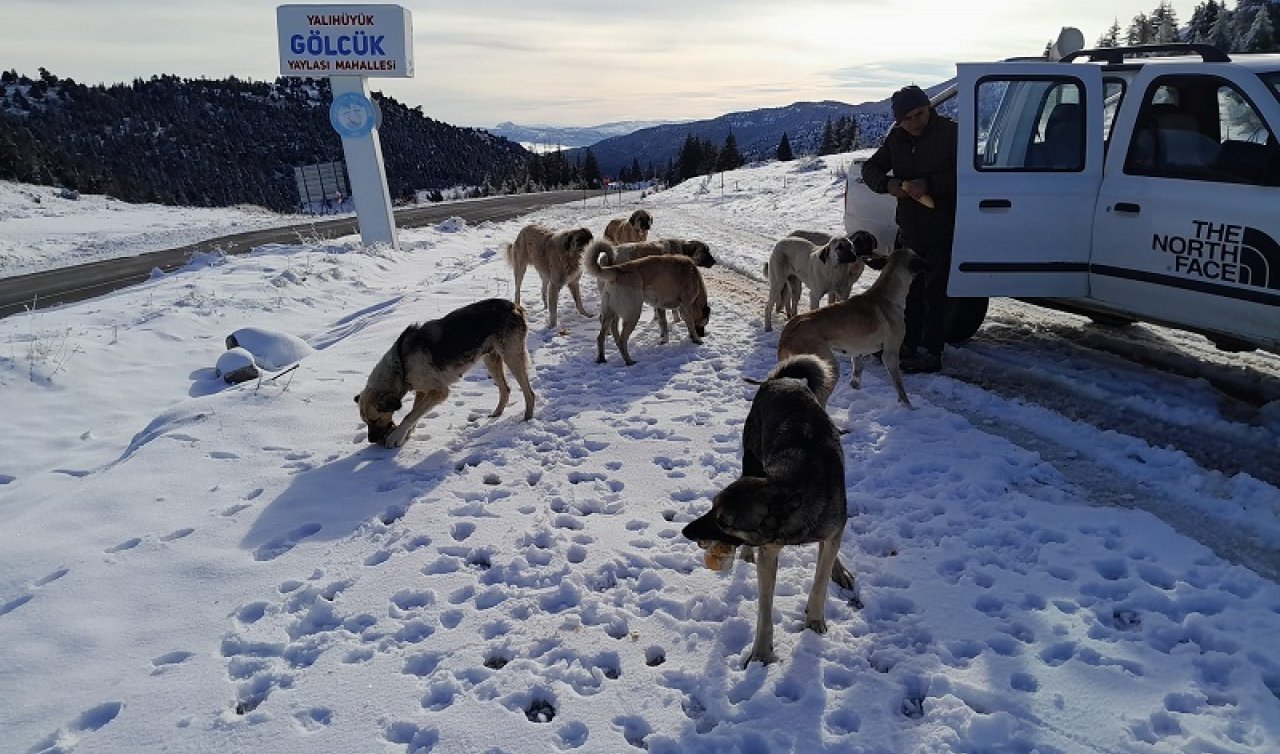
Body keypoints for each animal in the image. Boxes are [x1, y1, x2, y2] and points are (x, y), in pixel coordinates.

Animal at [355, 295, 535, 448]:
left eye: (374, 420)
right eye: (365, 422)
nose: (371, 441)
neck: (400, 364)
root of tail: (514, 306)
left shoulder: (439, 391)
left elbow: (410, 415)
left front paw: (396, 436)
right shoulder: (422, 392)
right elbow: (415, 414)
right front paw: (405, 434)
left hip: (512, 357)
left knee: (529, 393)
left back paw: (527, 418)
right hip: (491, 359)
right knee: (506, 389)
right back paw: (497, 413)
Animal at [581, 236, 711, 363]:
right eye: (704, 323)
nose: (703, 335)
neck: (695, 276)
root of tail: (617, 269)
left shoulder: (660, 306)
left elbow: (664, 324)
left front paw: (664, 339)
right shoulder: (685, 305)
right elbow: (690, 324)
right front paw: (696, 339)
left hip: (610, 312)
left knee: (602, 336)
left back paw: (601, 358)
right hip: (633, 313)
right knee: (622, 340)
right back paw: (629, 361)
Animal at [773, 248, 926, 404]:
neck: (886, 294)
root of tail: (787, 333)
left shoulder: (857, 352)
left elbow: (857, 374)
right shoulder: (891, 353)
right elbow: (900, 387)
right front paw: (907, 406)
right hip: (829, 367)